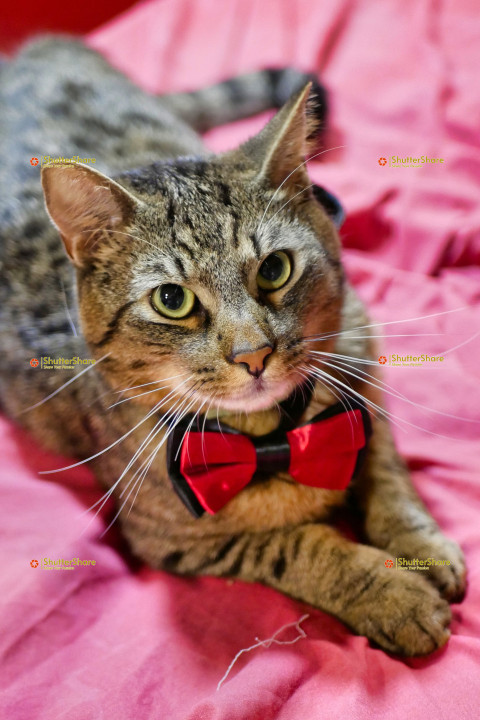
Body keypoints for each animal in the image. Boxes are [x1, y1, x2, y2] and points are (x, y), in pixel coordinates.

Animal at [0, 39, 464, 660]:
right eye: (172, 299)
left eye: (275, 268)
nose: (253, 354)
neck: (275, 439)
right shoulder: (176, 540)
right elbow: (301, 547)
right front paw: (394, 593)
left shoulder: (361, 360)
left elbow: (385, 472)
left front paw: (420, 546)